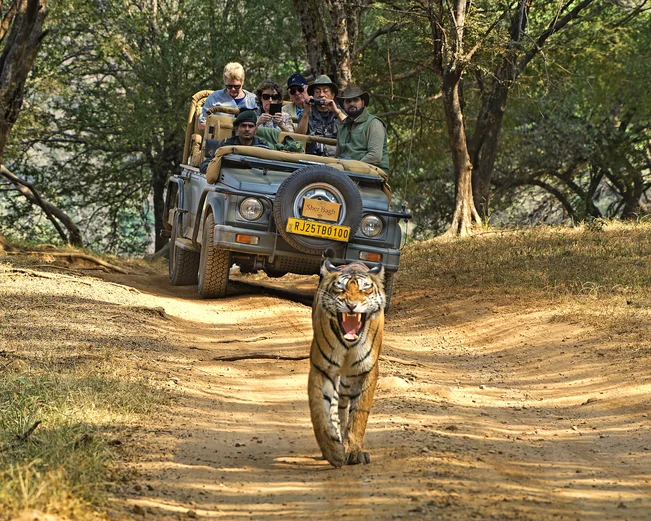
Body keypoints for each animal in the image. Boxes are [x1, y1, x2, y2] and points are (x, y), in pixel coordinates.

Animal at [308, 259, 386, 467]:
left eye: (365, 289)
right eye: (339, 288)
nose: (351, 305)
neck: (348, 344)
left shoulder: (368, 371)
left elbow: (359, 414)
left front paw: (354, 451)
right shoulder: (322, 368)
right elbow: (319, 411)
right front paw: (333, 451)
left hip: (349, 378)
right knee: (338, 407)